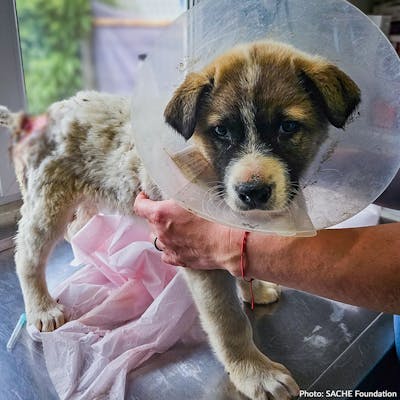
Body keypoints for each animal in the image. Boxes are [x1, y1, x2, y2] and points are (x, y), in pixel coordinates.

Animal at [0, 41, 360, 400]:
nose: (252, 192)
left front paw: (253, 286)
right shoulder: (198, 254)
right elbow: (228, 321)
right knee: (27, 256)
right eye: (221, 131)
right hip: (48, 201)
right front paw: (253, 372)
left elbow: (239, 254)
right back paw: (42, 307)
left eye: (288, 127)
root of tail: (37, 118)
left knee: (77, 228)